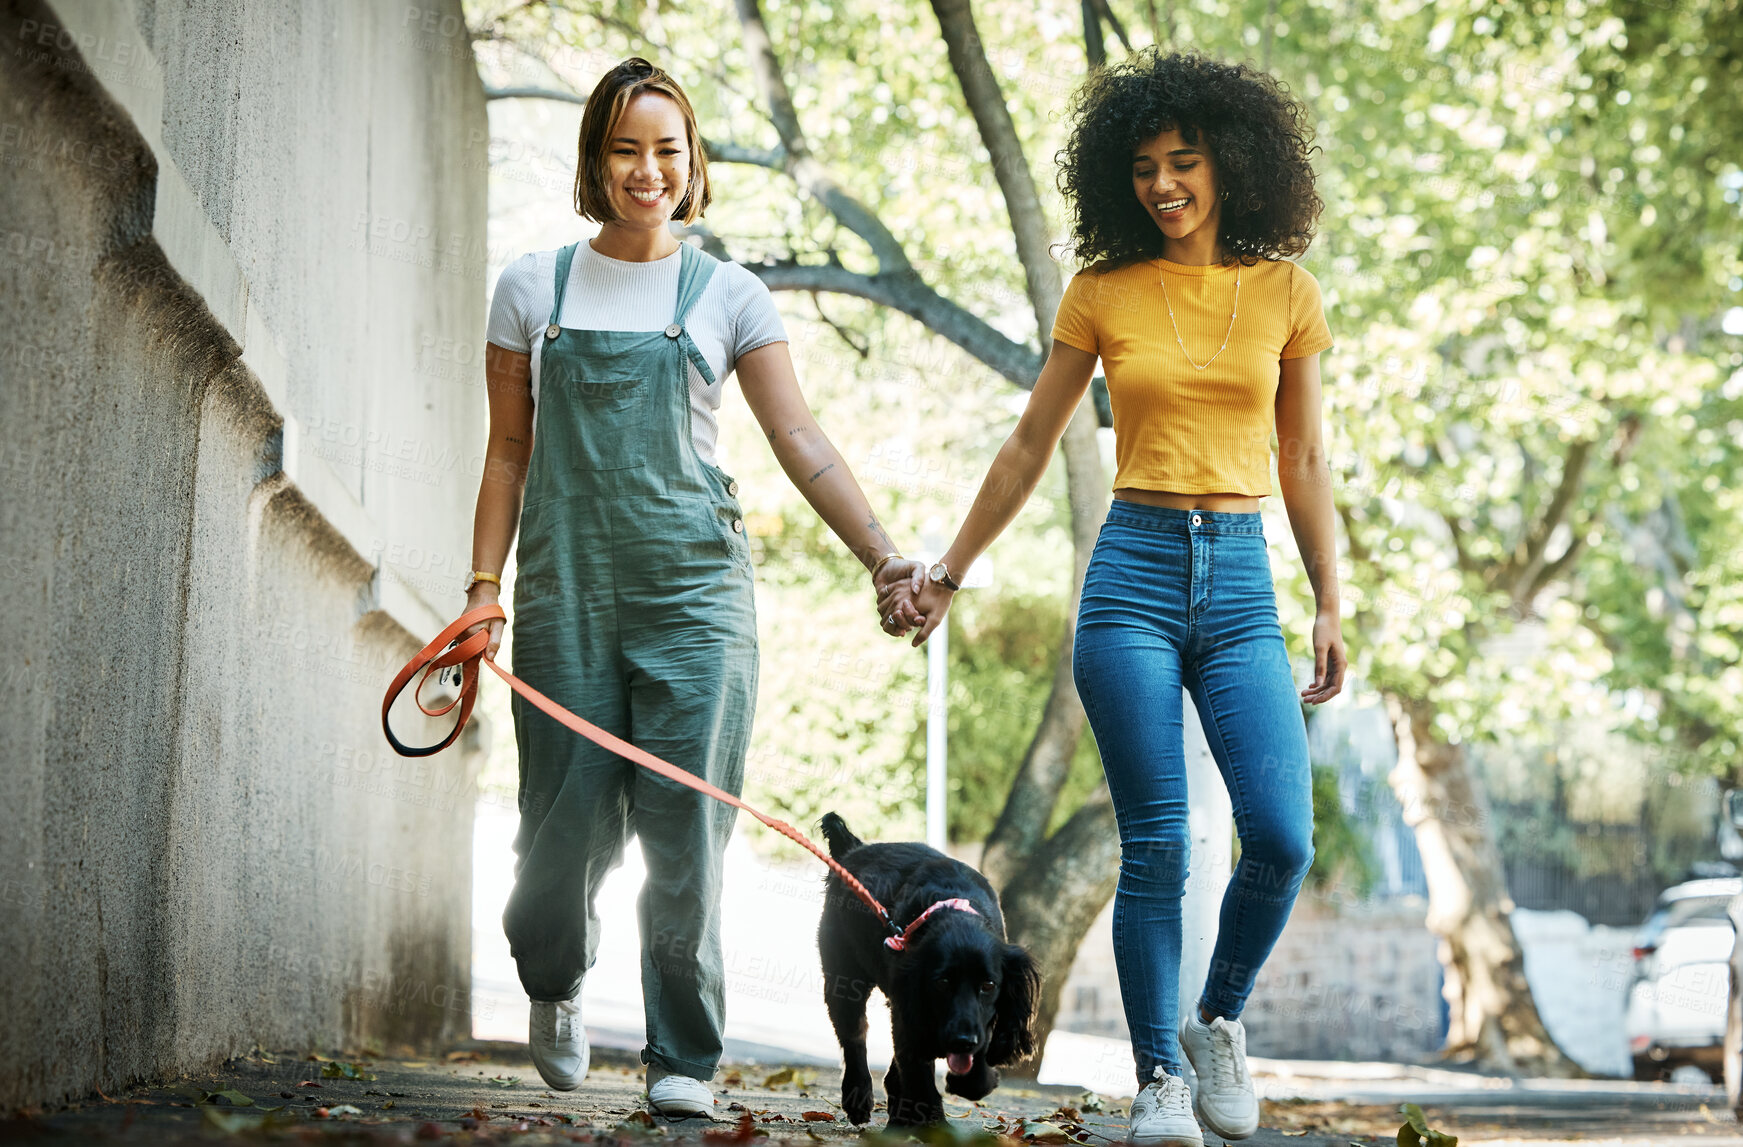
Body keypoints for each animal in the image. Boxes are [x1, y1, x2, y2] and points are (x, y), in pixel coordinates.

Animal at [812, 808, 1031, 1122]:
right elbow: (916, 1068)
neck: (953, 910)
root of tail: (855, 849)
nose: (963, 1041)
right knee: (854, 1036)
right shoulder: (910, 1003)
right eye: (942, 983)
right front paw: (929, 1117)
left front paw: (973, 1079)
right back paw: (859, 1098)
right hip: (843, 978)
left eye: (989, 985)